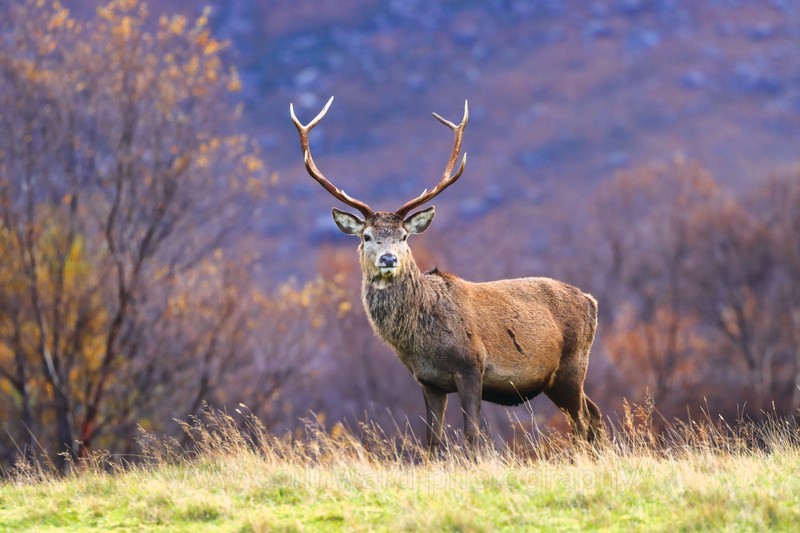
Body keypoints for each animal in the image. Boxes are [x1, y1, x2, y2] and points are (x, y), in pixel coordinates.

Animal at [290, 97, 605, 452]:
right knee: (593, 415)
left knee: (582, 421)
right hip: (555, 379)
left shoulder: (472, 366)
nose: (388, 258)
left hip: (573, 365)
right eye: (367, 236)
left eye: (404, 236)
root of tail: (592, 302)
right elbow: (432, 440)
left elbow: (472, 436)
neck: (422, 341)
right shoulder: (429, 381)